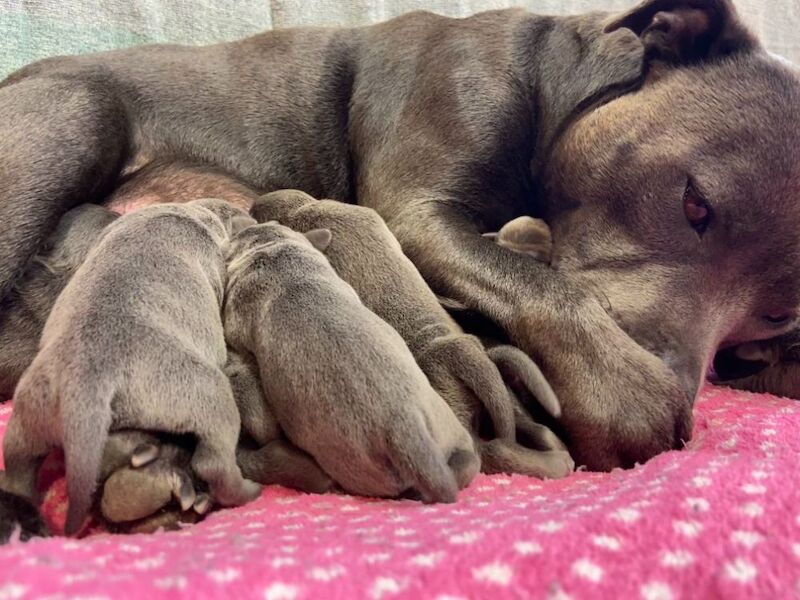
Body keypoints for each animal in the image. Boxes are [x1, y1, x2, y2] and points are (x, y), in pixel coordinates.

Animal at [3, 198, 260, 536]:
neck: (183, 212)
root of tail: (87, 387)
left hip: (30, 415)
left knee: (17, 466)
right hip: (209, 396)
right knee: (214, 461)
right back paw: (247, 491)